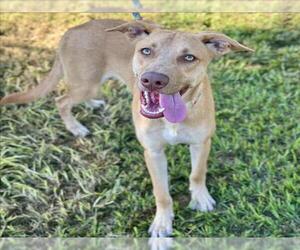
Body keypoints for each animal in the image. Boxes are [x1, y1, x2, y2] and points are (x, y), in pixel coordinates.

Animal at [0, 19, 253, 236]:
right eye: (146, 51)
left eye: (189, 57)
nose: (153, 80)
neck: (170, 119)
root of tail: (72, 30)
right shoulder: (153, 152)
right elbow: (162, 193)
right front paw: (162, 223)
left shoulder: (201, 143)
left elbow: (197, 173)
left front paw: (200, 198)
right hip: (86, 82)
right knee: (61, 100)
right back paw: (75, 127)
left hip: (90, 84)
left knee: (71, 99)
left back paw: (91, 106)